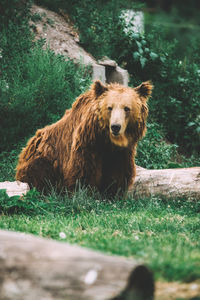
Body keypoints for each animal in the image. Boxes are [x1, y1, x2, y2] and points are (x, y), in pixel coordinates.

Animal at [16, 80, 153, 197]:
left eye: (126, 108)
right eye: (109, 107)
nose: (115, 127)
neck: (107, 140)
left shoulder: (121, 152)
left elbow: (118, 172)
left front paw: (112, 193)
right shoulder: (87, 144)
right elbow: (83, 170)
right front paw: (85, 193)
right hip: (43, 158)